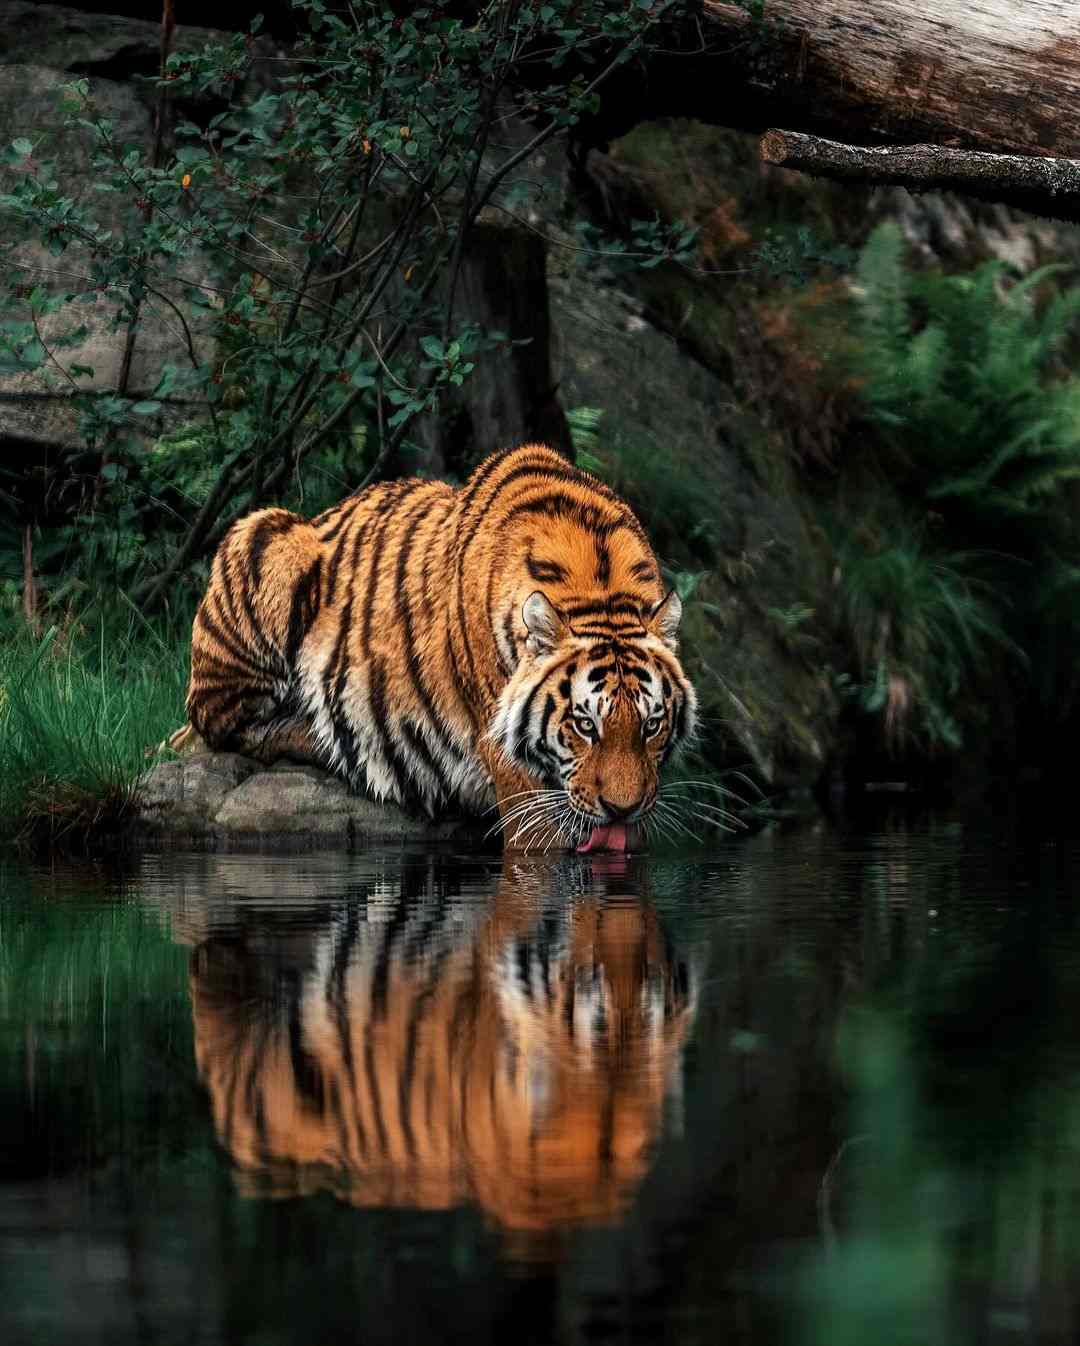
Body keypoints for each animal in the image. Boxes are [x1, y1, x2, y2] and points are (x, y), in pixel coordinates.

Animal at [171, 442, 697, 851]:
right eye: (584, 725)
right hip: (263, 534)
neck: (598, 586)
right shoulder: (519, 781)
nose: (621, 810)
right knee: (231, 724)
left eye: (652, 724)